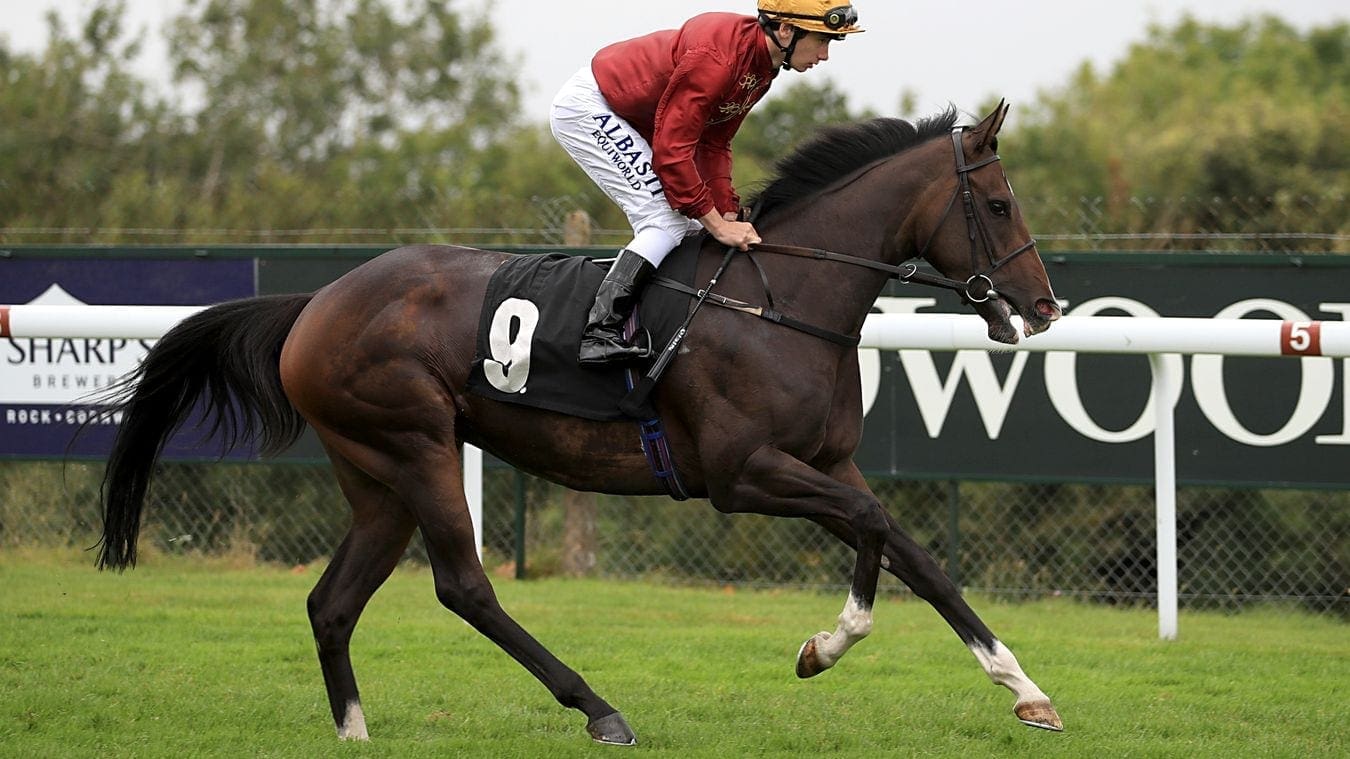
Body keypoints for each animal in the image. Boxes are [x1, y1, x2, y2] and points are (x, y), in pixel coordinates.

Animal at [95, 101, 1063, 745]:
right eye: (1001, 205)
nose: (1045, 306)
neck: (780, 301)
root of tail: (314, 304)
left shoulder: (827, 463)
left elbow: (914, 552)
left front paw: (1024, 686)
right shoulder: (741, 473)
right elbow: (871, 528)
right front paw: (825, 644)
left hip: (376, 474)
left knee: (332, 601)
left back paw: (356, 731)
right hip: (415, 444)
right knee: (465, 586)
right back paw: (598, 707)